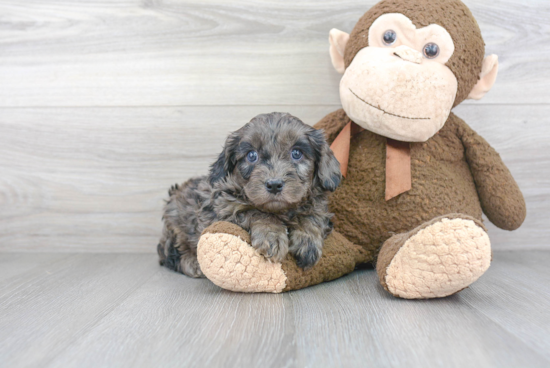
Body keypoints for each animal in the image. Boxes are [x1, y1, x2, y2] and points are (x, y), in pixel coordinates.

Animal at [157, 112, 342, 276]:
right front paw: (272, 237)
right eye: (252, 155)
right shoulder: (224, 209)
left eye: (296, 153)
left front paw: (307, 242)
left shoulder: (319, 207)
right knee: (169, 255)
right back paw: (193, 263)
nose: (274, 185)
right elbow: (256, 212)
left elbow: (313, 215)